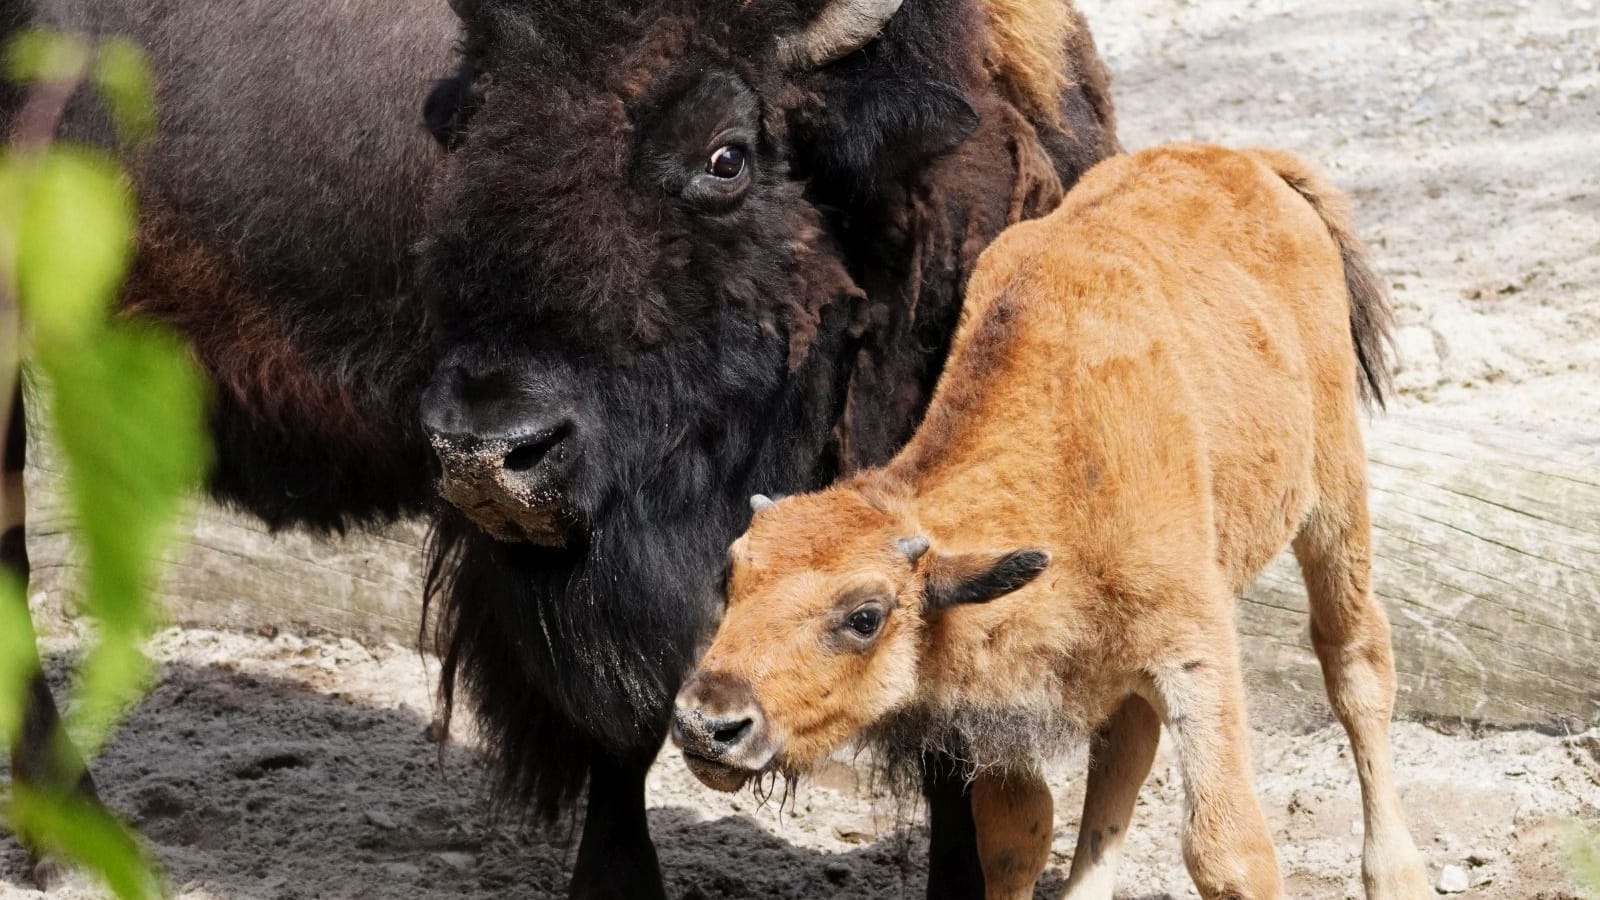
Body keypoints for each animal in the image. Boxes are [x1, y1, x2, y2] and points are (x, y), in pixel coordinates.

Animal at [668, 143, 1433, 890]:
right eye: (732, 577)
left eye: (865, 616)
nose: (708, 724)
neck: (1065, 457)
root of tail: (1252, 160)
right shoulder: (1005, 701)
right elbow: (1017, 835)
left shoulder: (1197, 647)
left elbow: (1226, 852)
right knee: (1127, 746)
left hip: (1333, 497)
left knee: (1355, 662)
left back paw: (1397, 874)